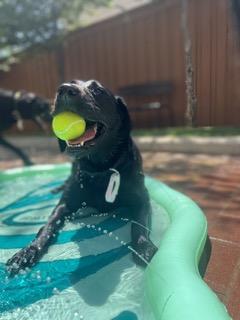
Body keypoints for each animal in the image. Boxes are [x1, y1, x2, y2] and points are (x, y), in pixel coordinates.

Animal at [6, 80, 158, 276]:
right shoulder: (63, 205)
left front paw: (143, 246)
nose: (64, 89)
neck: (100, 170)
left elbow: (139, 224)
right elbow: (47, 226)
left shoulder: (142, 200)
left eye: (97, 90)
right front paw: (28, 251)